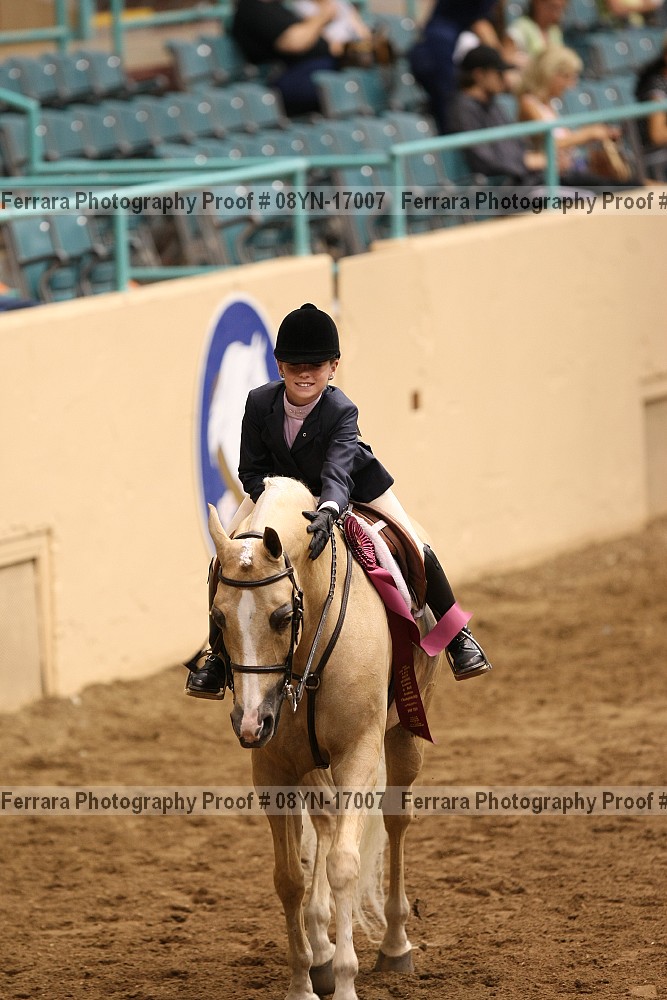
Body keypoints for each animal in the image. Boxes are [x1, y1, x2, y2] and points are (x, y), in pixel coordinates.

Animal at [207, 476, 443, 1000]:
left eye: (280, 616)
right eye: (218, 618)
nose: (251, 722)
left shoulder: (356, 755)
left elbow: (343, 866)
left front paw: (347, 980)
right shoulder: (273, 769)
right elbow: (289, 878)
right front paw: (303, 980)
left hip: (404, 734)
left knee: (395, 821)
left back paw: (394, 945)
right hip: (309, 762)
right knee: (327, 823)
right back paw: (321, 951)